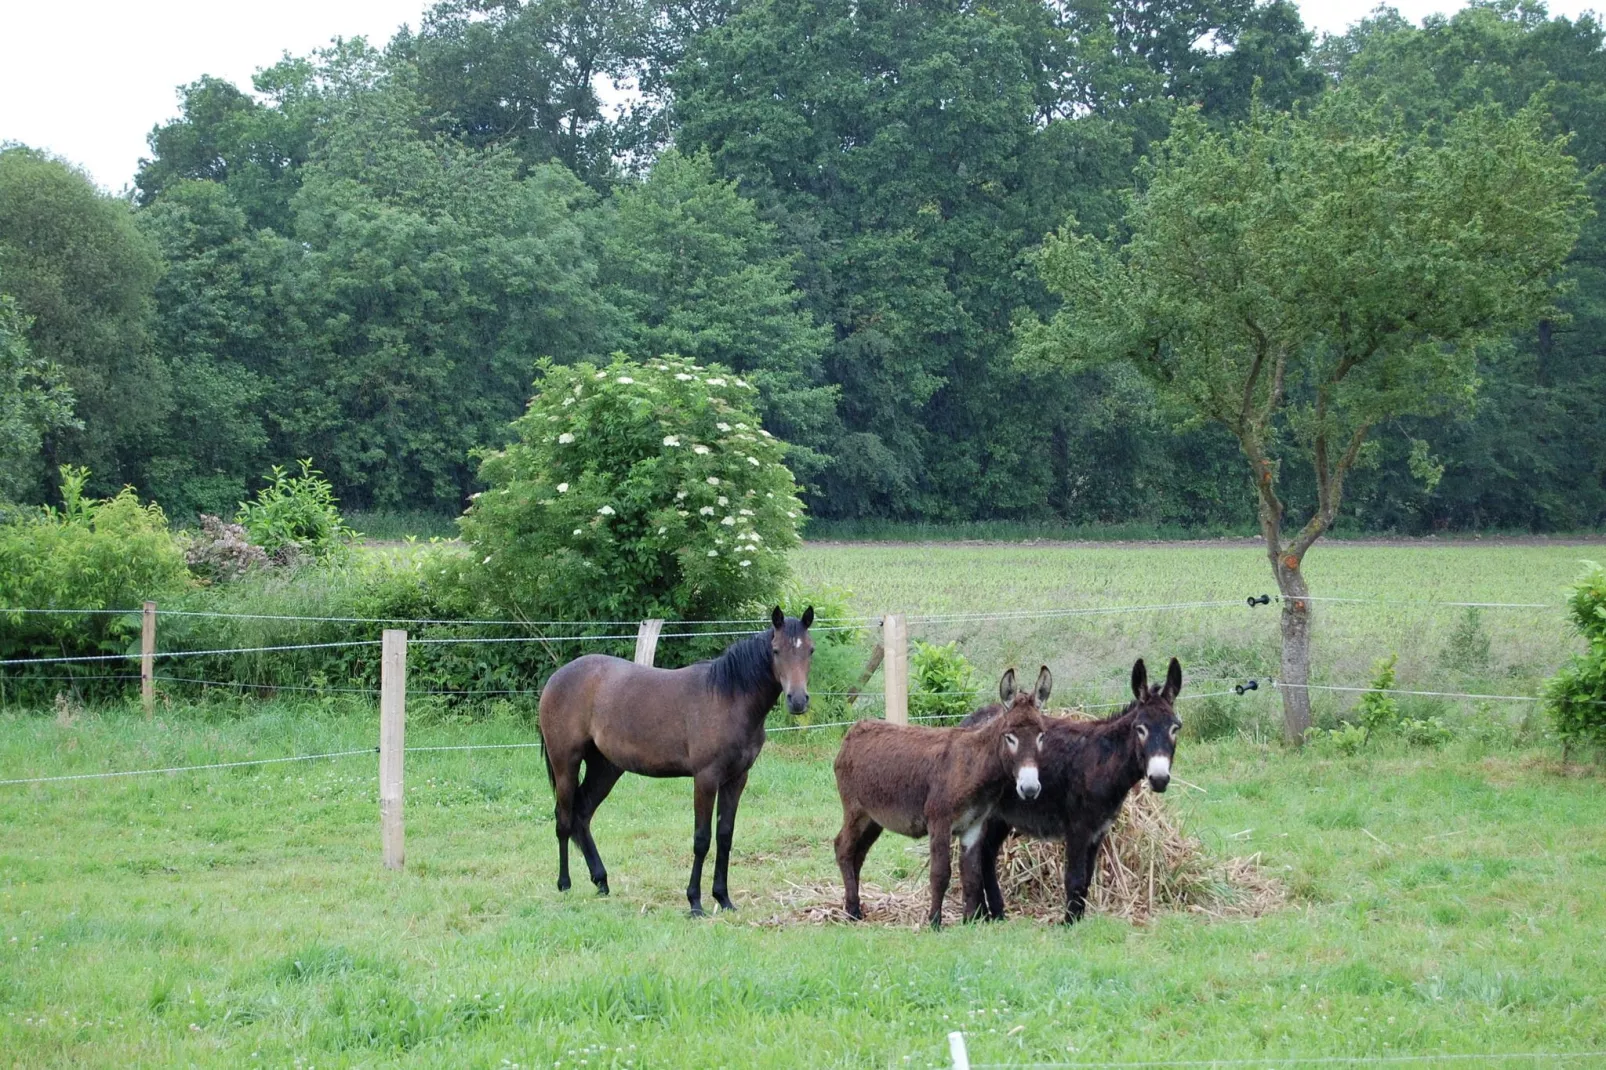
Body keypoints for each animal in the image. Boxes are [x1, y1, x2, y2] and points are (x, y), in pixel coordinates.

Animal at [539, 604, 815, 912]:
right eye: (776, 650)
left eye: (810, 650)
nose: (798, 700)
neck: (729, 698)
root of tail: (557, 677)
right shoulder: (706, 778)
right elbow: (702, 839)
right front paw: (695, 902)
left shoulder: (736, 779)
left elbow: (725, 836)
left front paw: (724, 898)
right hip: (566, 764)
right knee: (563, 819)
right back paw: (564, 884)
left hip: (605, 768)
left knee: (583, 814)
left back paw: (601, 881)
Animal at [828, 668, 1053, 925]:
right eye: (1010, 737)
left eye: (1041, 736)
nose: (1030, 788)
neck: (974, 764)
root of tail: (855, 729)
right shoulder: (939, 821)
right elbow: (940, 873)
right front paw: (934, 921)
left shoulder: (972, 826)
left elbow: (971, 873)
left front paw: (970, 920)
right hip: (855, 810)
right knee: (843, 848)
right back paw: (852, 910)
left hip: (874, 818)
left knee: (859, 853)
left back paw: (854, 906)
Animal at [957, 655, 1188, 918]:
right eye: (1140, 729)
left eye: (1175, 728)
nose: (1159, 779)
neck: (1102, 761)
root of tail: (972, 717)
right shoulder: (1078, 828)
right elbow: (1075, 879)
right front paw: (1068, 922)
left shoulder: (1098, 831)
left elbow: (1086, 880)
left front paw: (1076, 919)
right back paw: (981, 915)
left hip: (1000, 816)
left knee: (986, 854)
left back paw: (994, 915)